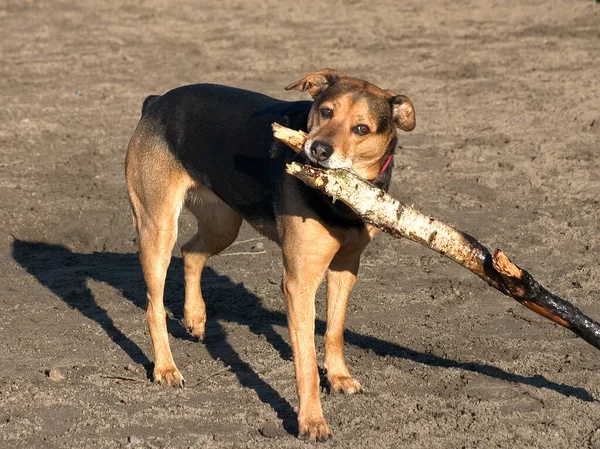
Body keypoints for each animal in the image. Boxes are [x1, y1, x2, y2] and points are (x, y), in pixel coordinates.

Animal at [125, 68, 418, 440]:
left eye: (362, 129)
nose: (318, 149)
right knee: (154, 307)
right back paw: (165, 367)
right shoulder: (299, 282)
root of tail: (156, 103)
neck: (339, 197)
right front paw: (311, 421)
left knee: (191, 252)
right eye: (326, 111)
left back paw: (195, 317)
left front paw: (338, 376)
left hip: (223, 224)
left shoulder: (346, 267)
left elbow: (334, 330)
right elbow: (305, 361)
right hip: (158, 227)